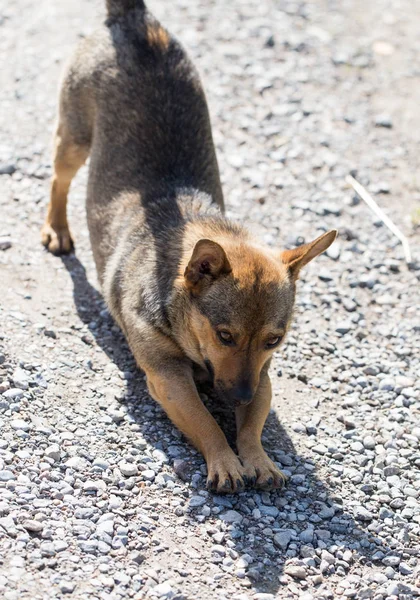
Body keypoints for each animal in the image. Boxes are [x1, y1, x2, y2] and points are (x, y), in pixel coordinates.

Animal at [41, 0, 336, 494]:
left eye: (275, 340)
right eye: (224, 335)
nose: (239, 395)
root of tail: (135, 23)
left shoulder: (262, 378)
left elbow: (252, 425)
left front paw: (258, 456)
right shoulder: (168, 377)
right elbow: (207, 422)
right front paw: (225, 459)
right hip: (75, 138)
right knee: (58, 180)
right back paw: (56, 229)